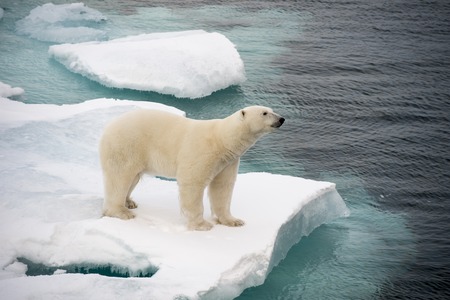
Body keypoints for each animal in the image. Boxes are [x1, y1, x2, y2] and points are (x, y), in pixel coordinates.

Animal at [100, 105, 284, 230]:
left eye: (271, 110)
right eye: (264, 113)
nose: (281, 119)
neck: (221, 140)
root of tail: (108, 127)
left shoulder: (228, 161)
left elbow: (223, 187)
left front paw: (233, 221)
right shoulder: (202, 151)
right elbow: (193, 183)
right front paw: (202, 225)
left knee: (133, 178)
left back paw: (129, 202)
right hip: (126, 145)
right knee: (120, 176)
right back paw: (121, 211)